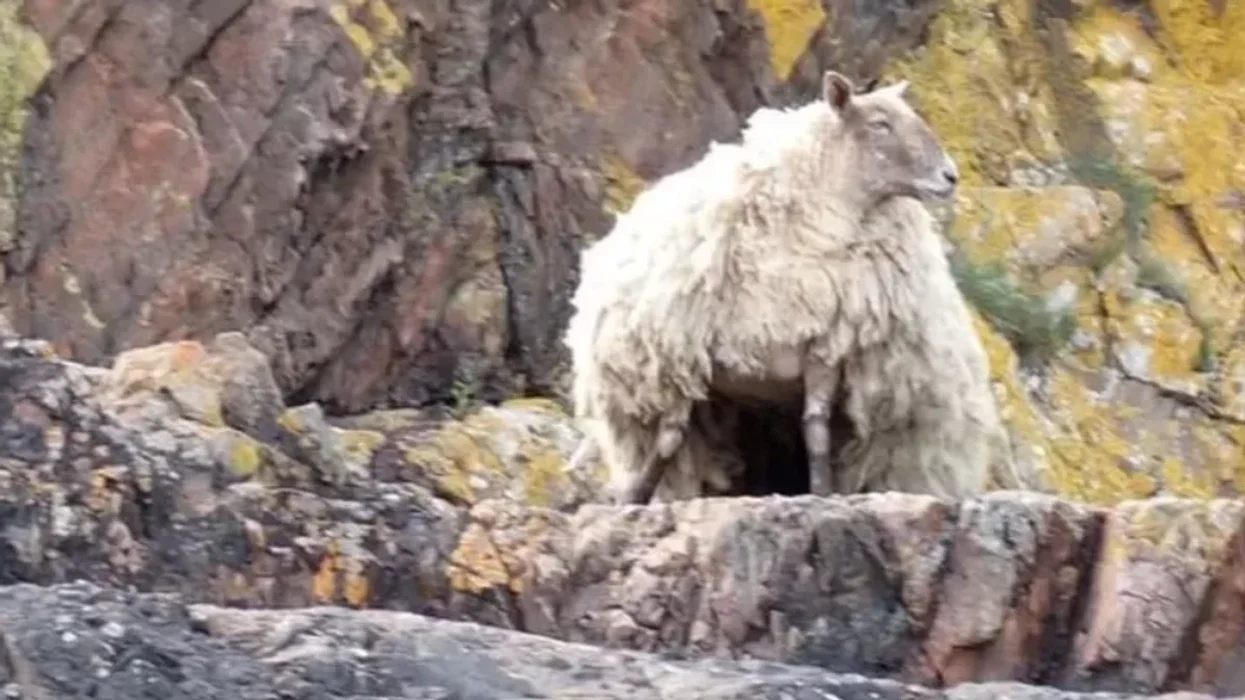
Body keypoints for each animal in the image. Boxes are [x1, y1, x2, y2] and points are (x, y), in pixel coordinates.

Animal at [564, 69, 1011, 505]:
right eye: (880, 124)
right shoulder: (683, 356)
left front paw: (822, 494)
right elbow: (670, 438)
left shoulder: (826, 349)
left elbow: (815, 428)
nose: (950, 176)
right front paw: (634, 499)